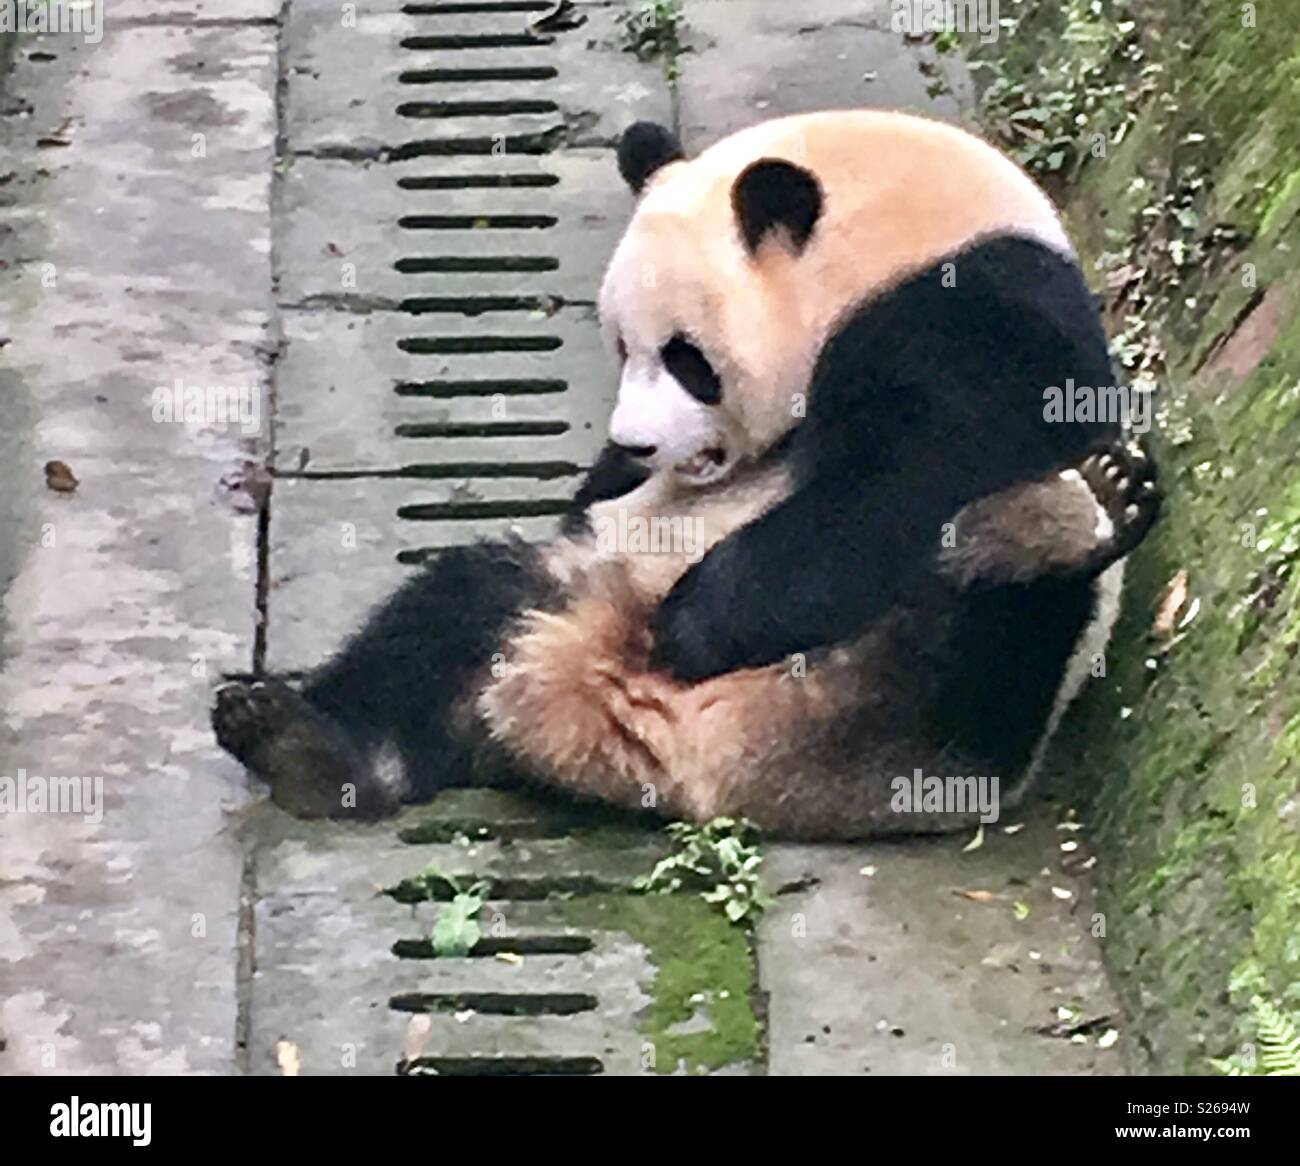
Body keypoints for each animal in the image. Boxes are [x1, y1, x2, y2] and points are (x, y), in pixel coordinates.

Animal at [212, 110, 1160, 839]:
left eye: (686, 359)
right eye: (620, 347)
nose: (633, 445)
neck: (892, 236)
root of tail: (691, 764)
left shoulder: (971, 313)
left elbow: (905, 479)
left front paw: (696, 622)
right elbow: (588, 511)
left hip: (927, 720)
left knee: (992, 624)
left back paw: (1077, 518)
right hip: (568, 597)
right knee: (457, 609)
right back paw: (305, 745)